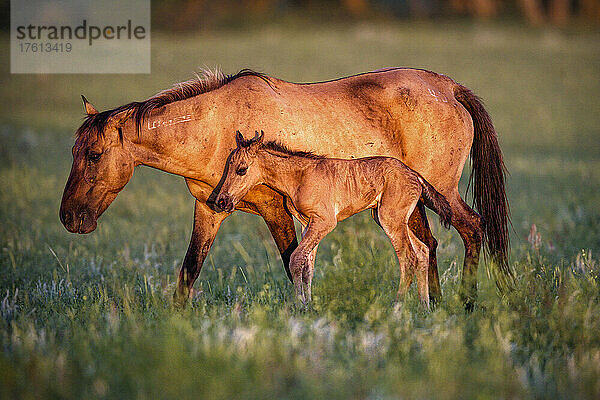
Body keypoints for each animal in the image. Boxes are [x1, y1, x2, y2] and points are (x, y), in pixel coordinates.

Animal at [216, 133, 450, 308]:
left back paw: (397, 306)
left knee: (408, 257)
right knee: (422, 251)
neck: (299, 177)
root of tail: (414, 175)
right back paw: (424, 306)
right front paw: (309, 304)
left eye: (242, 169)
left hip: (390, 219)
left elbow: (295, 258)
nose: (221, 201)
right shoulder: (307, 223)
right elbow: (308, 266)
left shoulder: (325, 222)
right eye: (227, 165)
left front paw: (300, 305)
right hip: (391, 218)